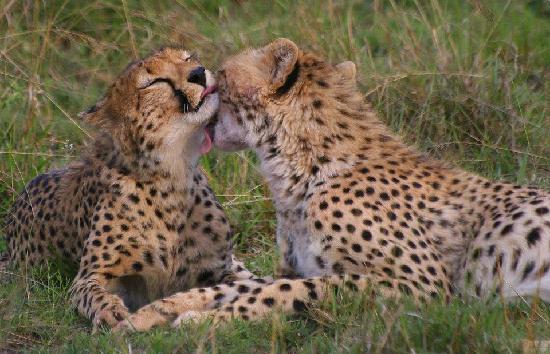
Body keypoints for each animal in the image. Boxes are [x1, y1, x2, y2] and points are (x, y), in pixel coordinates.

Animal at [1, 47, 266, 330]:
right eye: (154, 82)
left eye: (187, 58)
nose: (198, 73)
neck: (173, 172)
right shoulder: (91, 275)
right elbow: (92, 293)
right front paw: (112, 311)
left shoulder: (220, 268)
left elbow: (244, 285)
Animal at [114, 39, 548, 332]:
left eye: (219, 77)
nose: (202, 78)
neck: (303, 167)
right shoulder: (297, 267)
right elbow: (238, 286)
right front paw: (159, 310)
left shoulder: (424, 288)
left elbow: (285, 292)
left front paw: (202, 320)